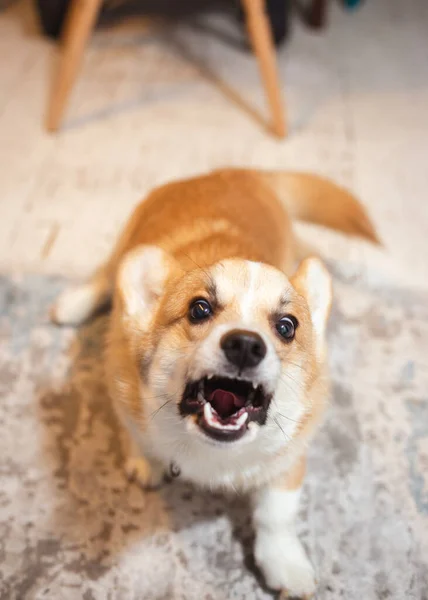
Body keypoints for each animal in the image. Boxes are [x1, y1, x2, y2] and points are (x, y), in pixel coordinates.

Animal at [51, 166, 376, 596]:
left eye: (286, 327)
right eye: (199, 309)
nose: (245, 346)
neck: (213, 453)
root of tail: (236, 171)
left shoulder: (290, 455)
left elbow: (277, 513)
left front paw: (286, 563)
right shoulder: (122, 388)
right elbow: (136, 434)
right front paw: (145, 460)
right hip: (124, 242)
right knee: (106, 273)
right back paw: (72, 303)